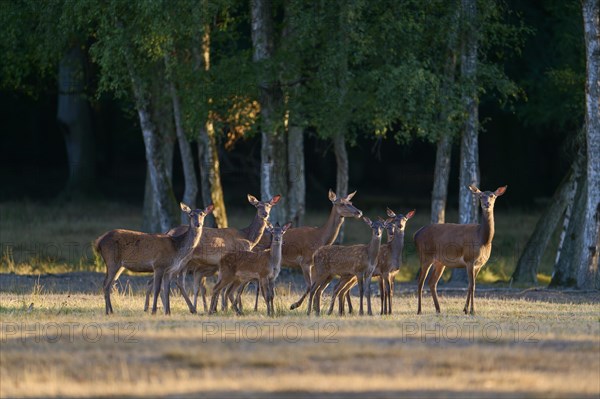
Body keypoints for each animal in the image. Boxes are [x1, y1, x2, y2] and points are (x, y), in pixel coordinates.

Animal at [418, 185, 506, 316]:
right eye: (481, 196)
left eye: (493, 196)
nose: (487, 204)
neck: (482, 239)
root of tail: (416, 235)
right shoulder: (469, 259)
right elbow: (472, 285)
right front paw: (472, 310)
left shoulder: (479, 264)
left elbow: (470, 285)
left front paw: (465, 310)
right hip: (425, 256)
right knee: (420, 282)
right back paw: (419, 310)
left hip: (440, 262)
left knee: (432, 282)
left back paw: (438, 309)